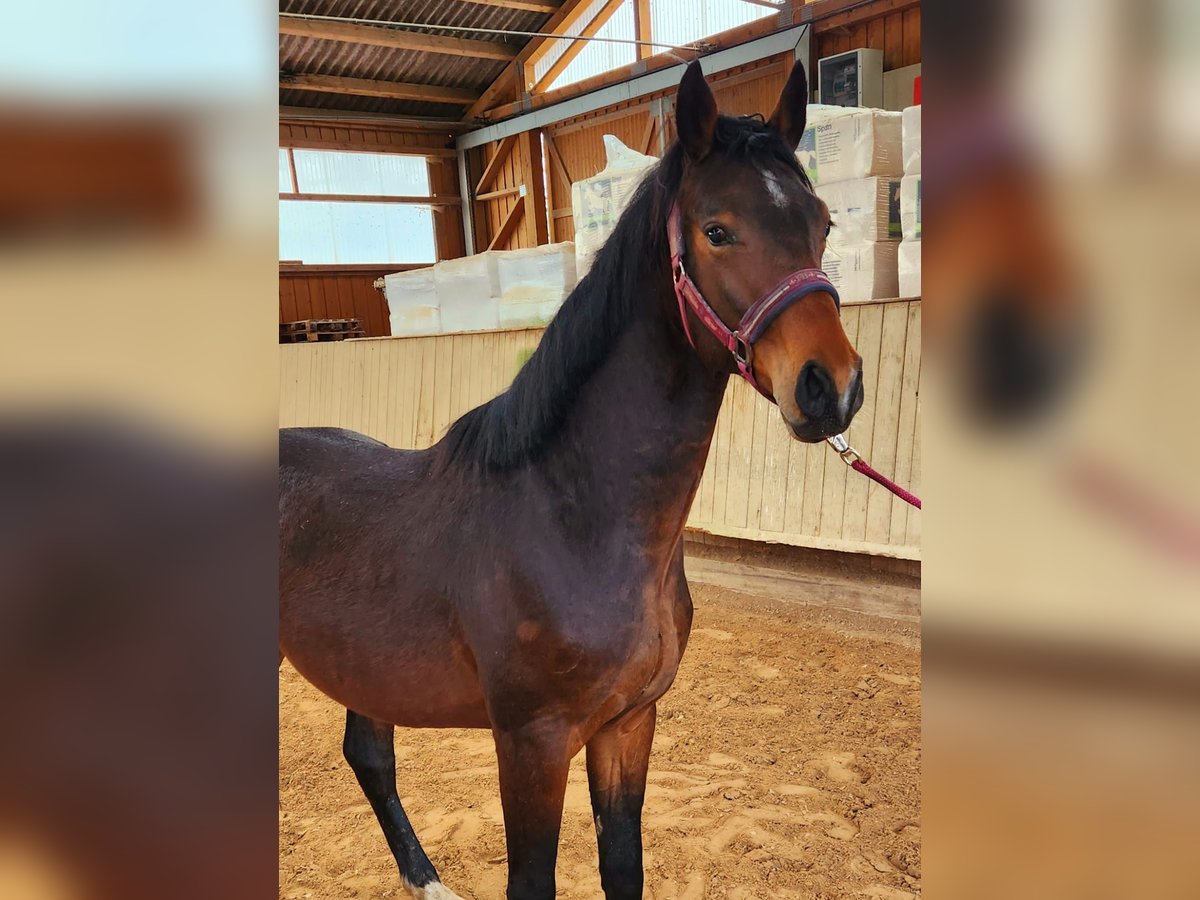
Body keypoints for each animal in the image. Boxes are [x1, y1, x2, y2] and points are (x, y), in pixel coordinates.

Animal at [280, 60, 863, 900]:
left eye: (822, 224)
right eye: (717, 229)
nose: (830, 387)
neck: (570, 520)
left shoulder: (627, 725)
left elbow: (623, 868)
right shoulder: (533, 741)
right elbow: (535, 881)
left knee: (369, 754)